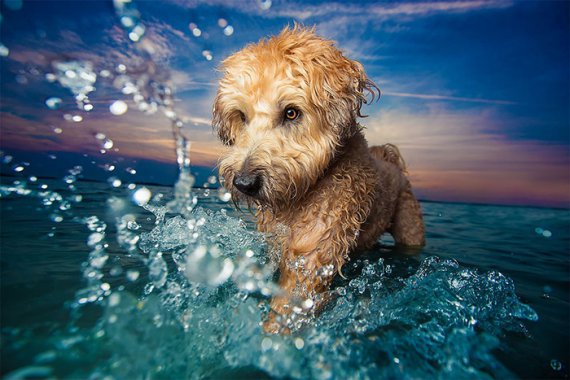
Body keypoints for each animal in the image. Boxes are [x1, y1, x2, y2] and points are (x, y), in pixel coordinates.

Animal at [212, 25, 422, 332]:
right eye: (241, 115)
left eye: (291, 112)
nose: (244, 183)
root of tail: (389, 158)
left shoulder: (314, 253)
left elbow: (292, 302)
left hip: (410, 224)